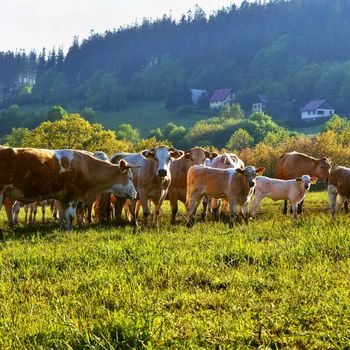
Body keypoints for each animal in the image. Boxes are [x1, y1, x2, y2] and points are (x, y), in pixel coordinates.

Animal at [0, 147, 137, 230]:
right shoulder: (74, 195)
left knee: (8, 206)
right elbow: (70, 215)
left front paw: (64, 229)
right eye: (130, 177)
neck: (87, 166)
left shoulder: (62, 197)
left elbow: (63, 215)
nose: (135, 193)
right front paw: (70, 230)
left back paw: (12, 223)